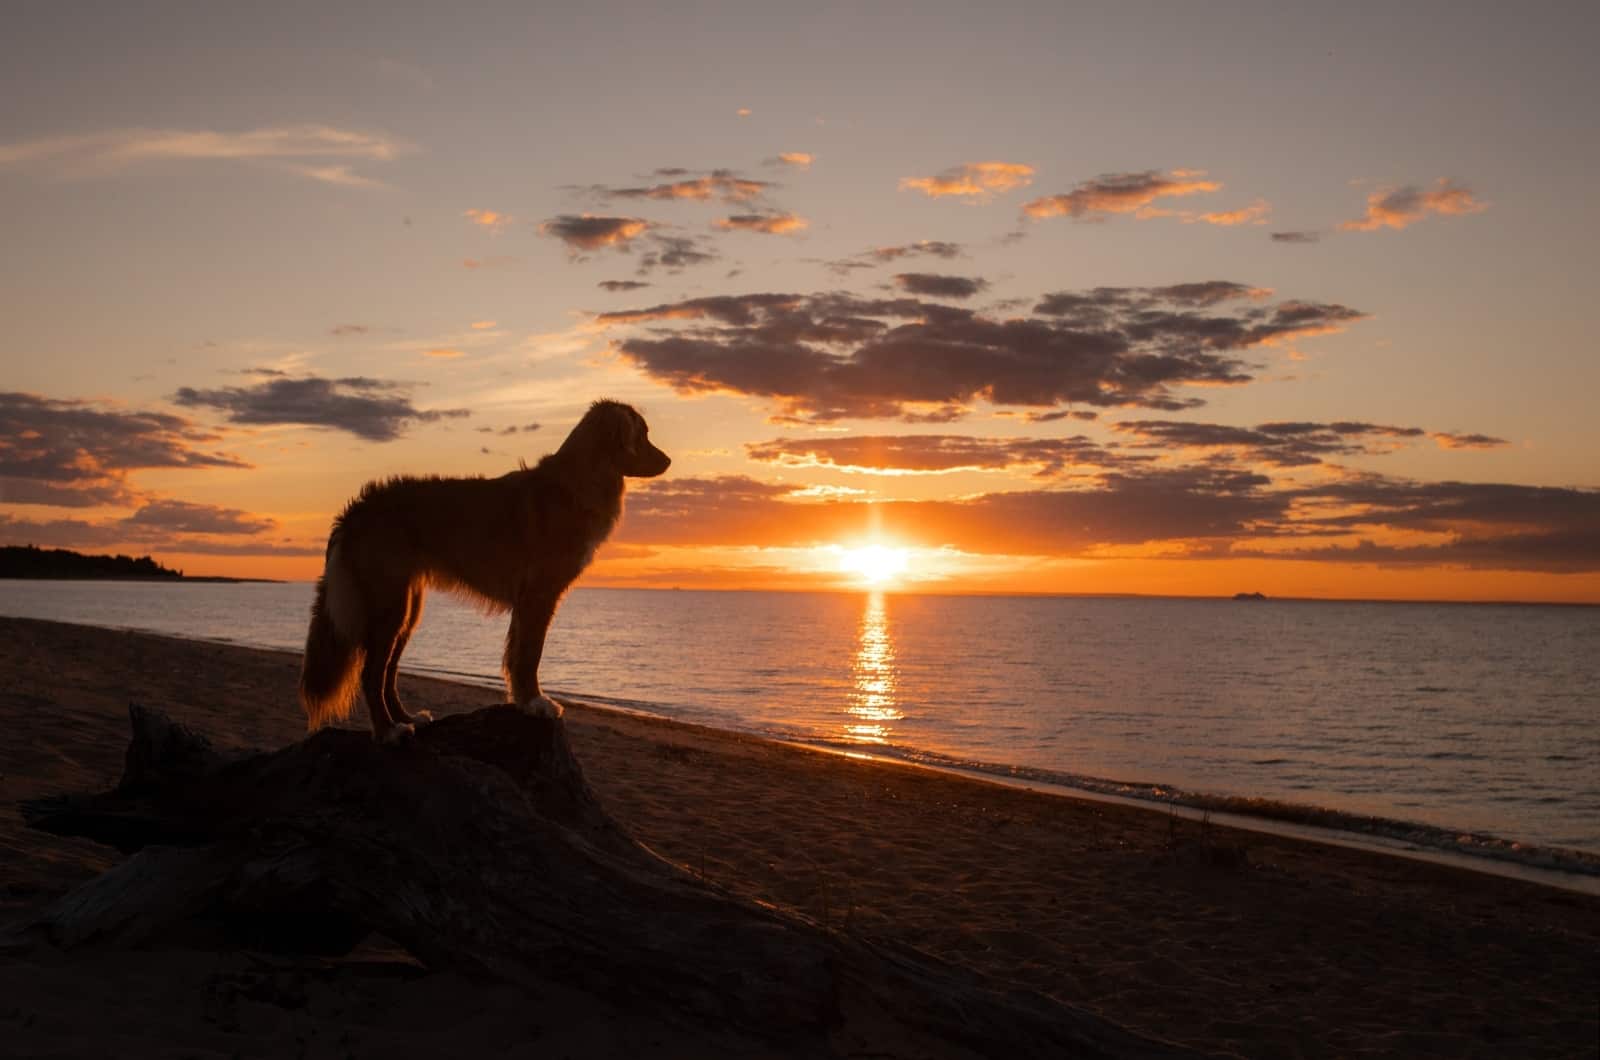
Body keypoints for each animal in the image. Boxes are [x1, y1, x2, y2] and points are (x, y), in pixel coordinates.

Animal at [300, 403, 668, 742]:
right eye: (643, 435)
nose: (668, 461)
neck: (580, 481)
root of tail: (357, 509)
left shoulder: (527, 602)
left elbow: (517, 655)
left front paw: (523, 700)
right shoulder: (539, 595)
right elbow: (530, 655)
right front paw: (536, 702)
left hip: (408, 609)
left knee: (389, 673)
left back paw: (407, 718)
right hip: (390, 605)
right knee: (371, 675)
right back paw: (388, 730)